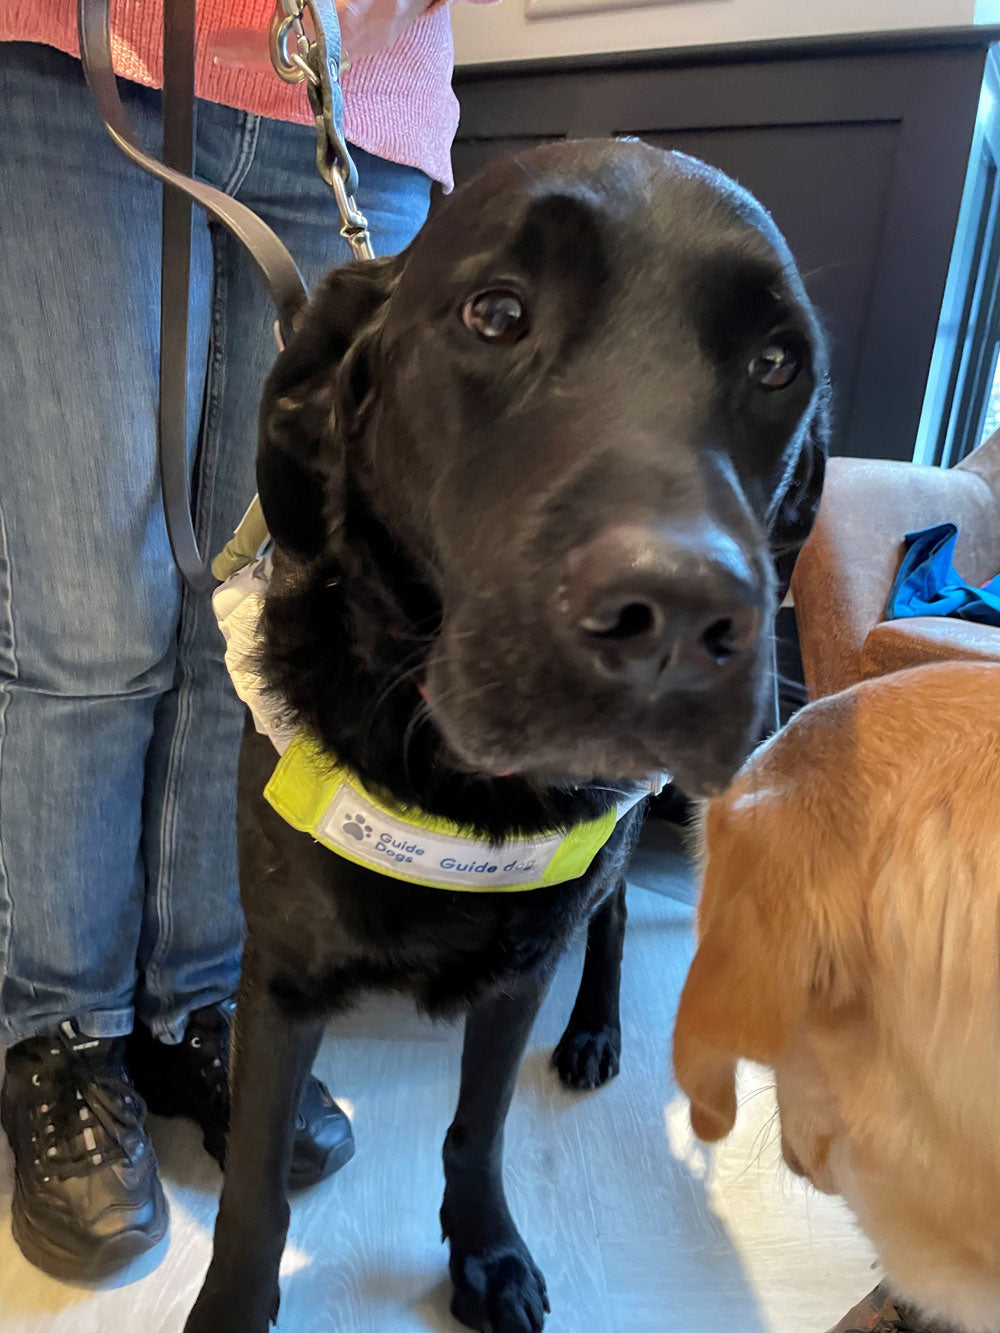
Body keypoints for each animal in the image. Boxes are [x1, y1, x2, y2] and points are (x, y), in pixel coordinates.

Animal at [184, 138, 830, 1333]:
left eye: (777, 364)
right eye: (495, 313)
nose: (677, 615)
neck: (445, 774)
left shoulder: (520, 963)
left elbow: (476, 1129)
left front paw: (483, 1252)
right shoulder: (279, 978)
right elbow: (254, 1185)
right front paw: (235, 1303)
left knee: (613, 913)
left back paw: (595, 1031)